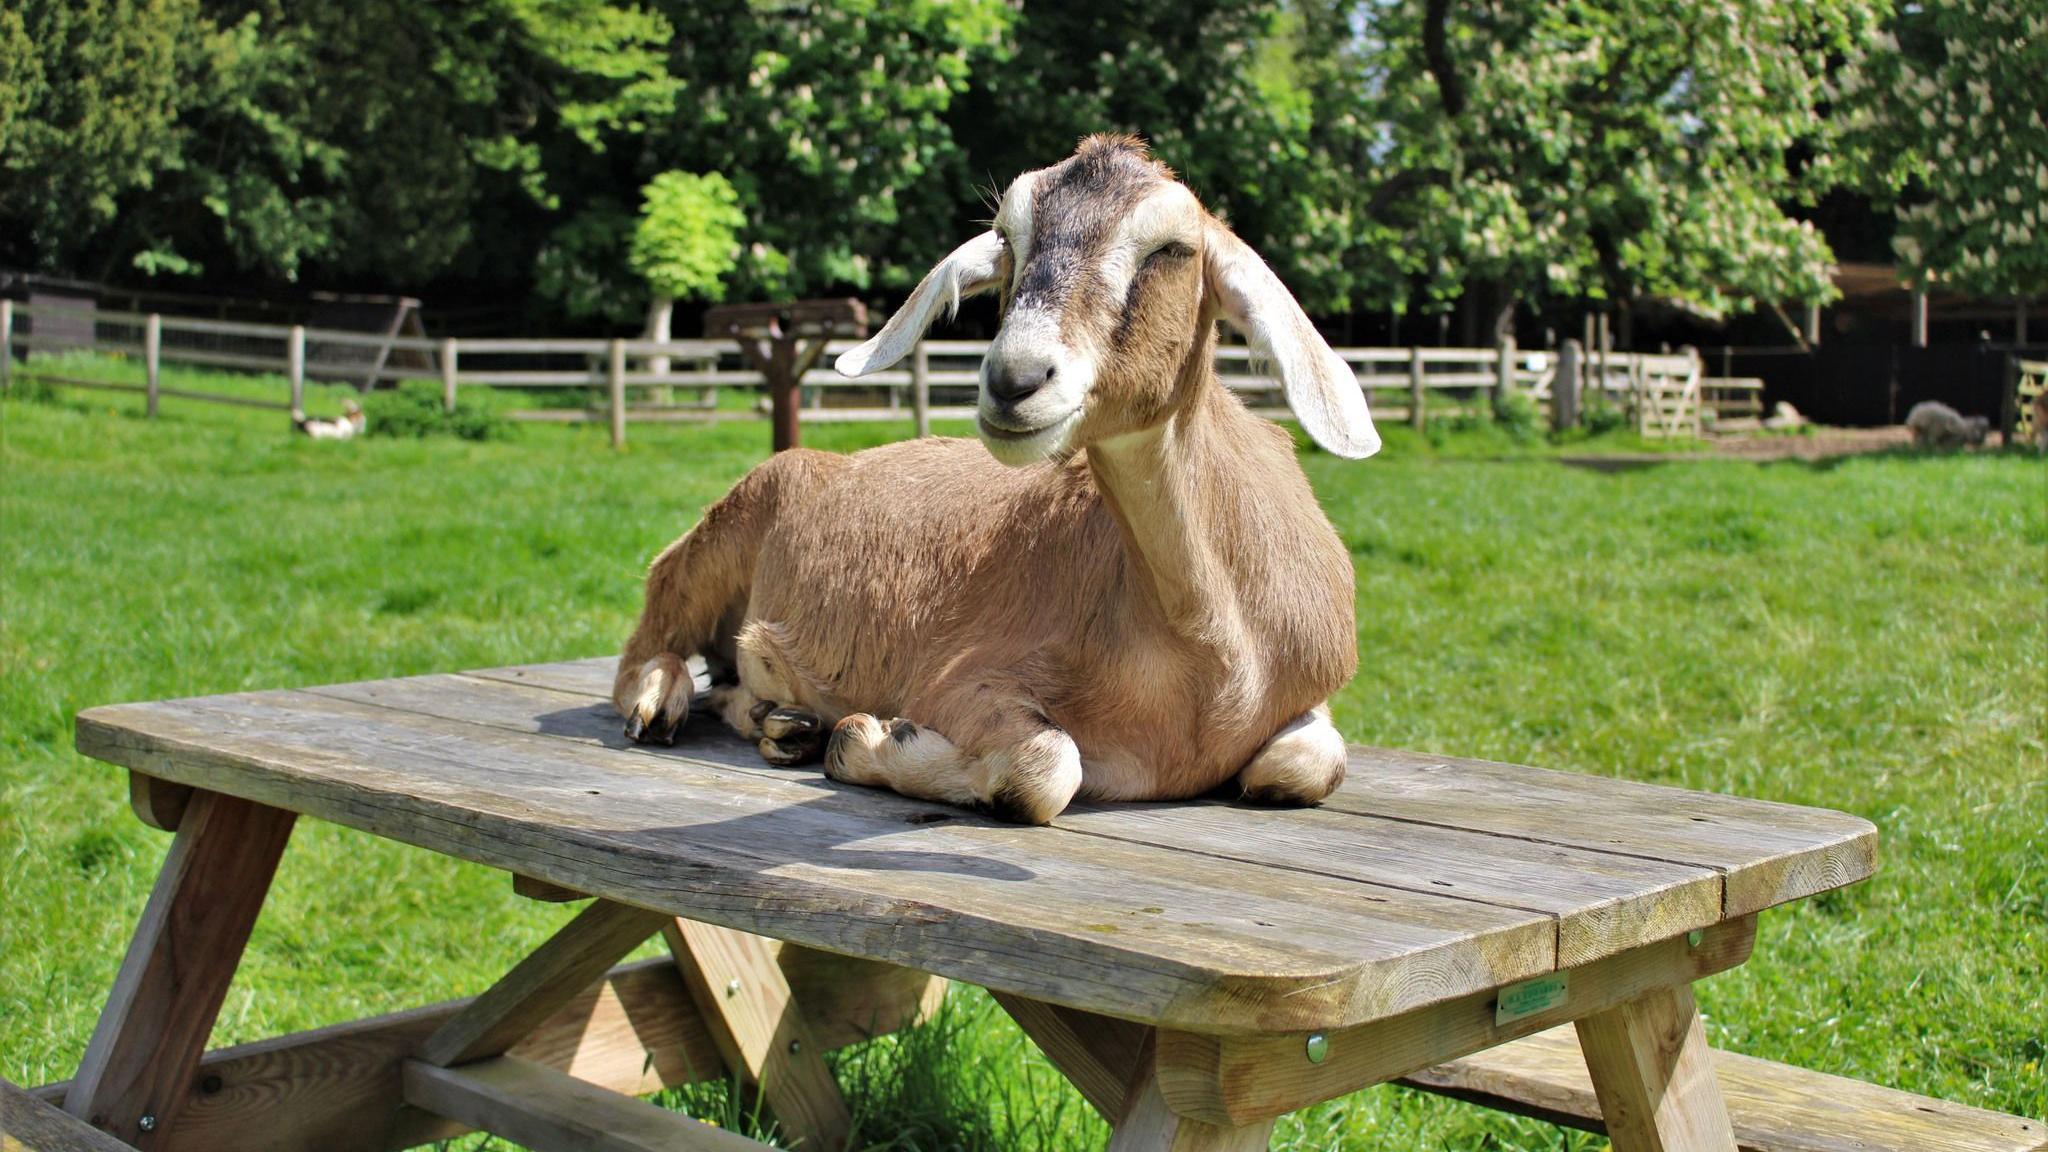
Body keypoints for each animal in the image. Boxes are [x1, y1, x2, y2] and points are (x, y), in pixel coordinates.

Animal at [606, 132, 1376, 815]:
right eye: (1009, 236)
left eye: (1172, 248)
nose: (1014, 379)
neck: (1209, 659)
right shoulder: (959, 678)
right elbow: (1045, 769)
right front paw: (868, 739)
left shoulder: (1309, 696)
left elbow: (1311, 763)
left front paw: (834, 734)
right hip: (720, 538)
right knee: (649, 639)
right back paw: (666, 702)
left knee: (728, 682)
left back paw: (784, 724)